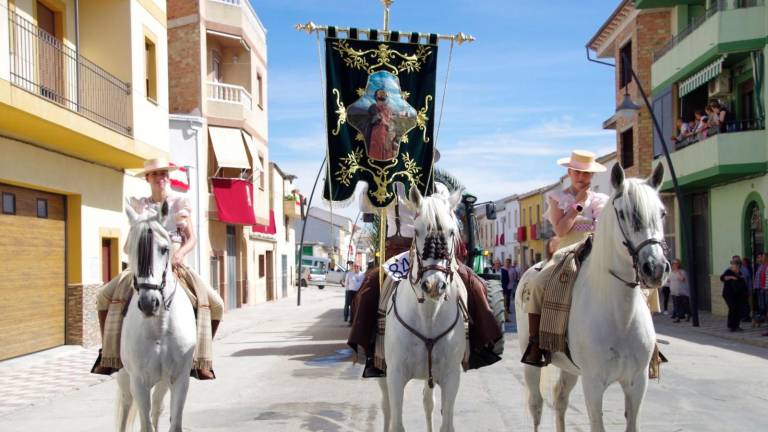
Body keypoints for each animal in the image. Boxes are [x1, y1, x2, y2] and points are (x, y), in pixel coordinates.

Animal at [115, 203, 198, 432]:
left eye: (164, 249)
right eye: (130, 249)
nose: (148, 303)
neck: (159, 327)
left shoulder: (179, 379)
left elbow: (174, 423)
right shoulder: (139, 382)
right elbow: (145, 425)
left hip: (162, 382)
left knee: (157, 408)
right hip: (125, 377)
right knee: (126, 406)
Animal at [380, 187, 464, 432]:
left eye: (452, 232)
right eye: (416, 231)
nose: (434, 285)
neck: (428, 314)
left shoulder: (451, 377)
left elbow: (446, 423)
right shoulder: (395, 375)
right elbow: (397, 422)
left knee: (428, 402)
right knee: (386, 407)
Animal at [516, 163, 672, 432]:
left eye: (662, 213)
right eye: (624, 214)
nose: (655, 268)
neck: (620, 315)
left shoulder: (637, 383)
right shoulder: (593, 384)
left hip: (570, 368)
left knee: (560, 398)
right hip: (532, 366)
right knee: (536, 405)